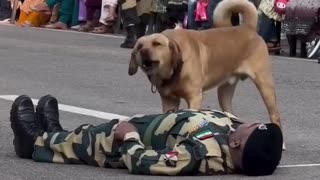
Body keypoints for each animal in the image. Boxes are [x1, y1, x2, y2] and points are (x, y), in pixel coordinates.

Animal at [127, 0, 282, 132]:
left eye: (157, 44)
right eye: (139, 46)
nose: (143, 51)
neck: (175, 67)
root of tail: (248, 27)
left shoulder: (194, 97)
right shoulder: (169, 101)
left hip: (265, 85)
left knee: (275, 115)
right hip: (225, 92)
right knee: (230, 113)